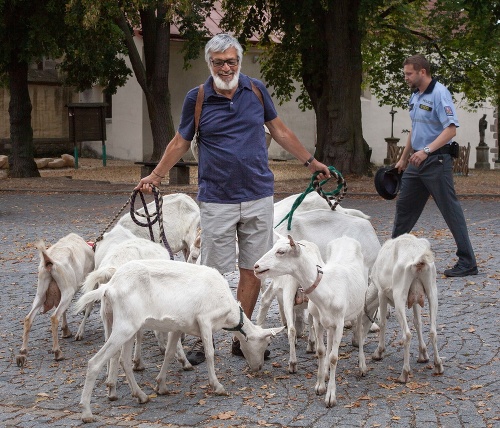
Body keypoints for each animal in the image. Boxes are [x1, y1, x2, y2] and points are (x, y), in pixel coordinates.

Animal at [15, 234, 94, 368]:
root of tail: (49, 261)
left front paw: (65, 330)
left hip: (41, 291)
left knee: (28, 318)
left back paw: (22, 353)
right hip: (68, 290)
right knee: (54, 317)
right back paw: (57, 352)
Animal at [75, 260, 286, 422]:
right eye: (266, 344)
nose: (258, 367)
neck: (229, 311)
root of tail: (109, 287)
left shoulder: (178, 326)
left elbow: (169, 354)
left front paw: (161, 386)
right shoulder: (205, 319)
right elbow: (210, 353)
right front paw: (217, 386)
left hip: (124, 325)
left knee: (123, 360)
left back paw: (141, 396)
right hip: (124, 326)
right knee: (94, 362)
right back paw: (86, 412)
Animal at [256, 236, 370, 406]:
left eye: (281, 251)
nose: (256, 266)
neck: (327, 288)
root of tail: (346, 238)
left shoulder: (340, 323)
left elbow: (334, 357)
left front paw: (330, 396)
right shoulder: (317, 320)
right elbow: (321, 351)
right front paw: (320, 385)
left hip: (360, 305)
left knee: (360, 331)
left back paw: (362, 367)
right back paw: (327, 372)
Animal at [370, 236, 444, 382]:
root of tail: (418, 259)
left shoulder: (382, 293)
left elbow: (383, 323)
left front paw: (378, 352)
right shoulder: (415, 299)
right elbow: (417, 322)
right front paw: (423, 354)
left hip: (399, 296)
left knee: (407, 335)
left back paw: (404, 373)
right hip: (432, 291)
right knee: (433, 331)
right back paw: (438, 365)